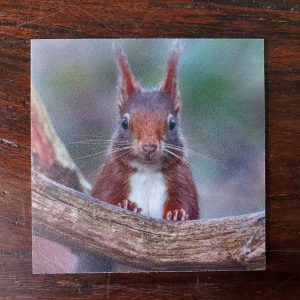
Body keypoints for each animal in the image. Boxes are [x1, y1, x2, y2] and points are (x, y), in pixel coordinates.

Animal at [91, 42, 199, 220]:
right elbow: (104, 198)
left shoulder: (182, 179)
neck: (147, 171)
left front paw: (177, 212)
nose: (149, 147)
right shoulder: (109, 178)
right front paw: (126, 204)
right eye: (124, 123)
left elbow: (188, 204)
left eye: (172, 124)